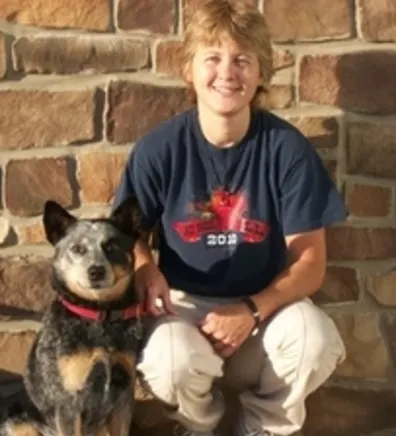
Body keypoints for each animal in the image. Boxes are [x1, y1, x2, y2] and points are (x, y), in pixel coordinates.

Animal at [0, 198, 145, 436]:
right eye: (77, 249)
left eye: (111, 246)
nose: (96, 271)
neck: (99, 317)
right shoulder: (68, 403)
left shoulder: (124, 395)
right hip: (19, 424)